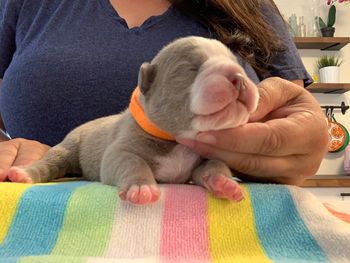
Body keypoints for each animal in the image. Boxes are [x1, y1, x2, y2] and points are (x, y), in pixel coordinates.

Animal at [6, 36, 260, 205]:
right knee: (52, 162)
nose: (238, 77)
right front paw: (141, 187)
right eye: (191, 68)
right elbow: (132, 162)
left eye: (235, 62)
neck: (177, 140)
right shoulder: (121, 149)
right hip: (69, 146)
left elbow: (215, 165)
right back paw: (25, 174)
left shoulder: (203, 157)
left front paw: (225, 183)